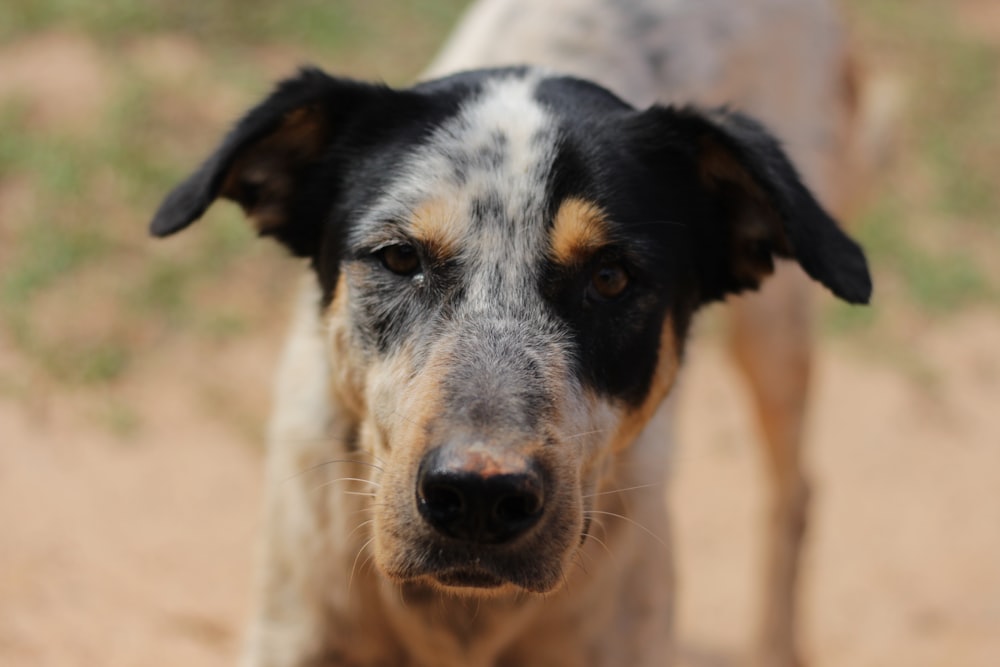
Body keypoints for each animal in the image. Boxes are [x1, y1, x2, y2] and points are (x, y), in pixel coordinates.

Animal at [148, 1, 868, 667]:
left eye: (611, 277)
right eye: (399, 258)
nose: (479, 496)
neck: (462, 617)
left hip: (777, 333)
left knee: (796, 494)